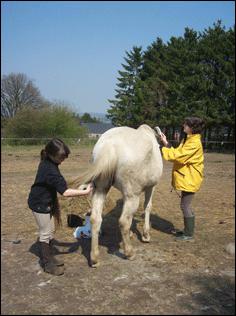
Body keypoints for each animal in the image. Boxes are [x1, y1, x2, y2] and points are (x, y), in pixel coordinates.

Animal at [75, 123, 162, 266]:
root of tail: (109, 146)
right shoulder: (151, 187)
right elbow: (148, 207)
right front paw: (146, 235)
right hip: (132, 195)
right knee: (123, 221)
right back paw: (129, 253)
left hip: (101, 188)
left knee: (95, 219)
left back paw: (94, 258)